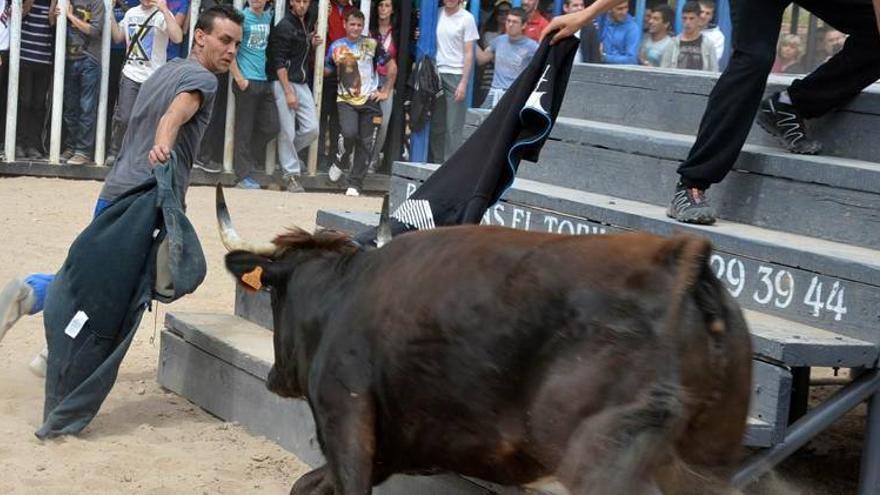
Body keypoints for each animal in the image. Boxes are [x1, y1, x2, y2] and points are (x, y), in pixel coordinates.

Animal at [218, 192, 748, 494]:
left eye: (273, 295)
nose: (276, 377)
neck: (342, 295)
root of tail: (679, 260)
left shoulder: (346, 428)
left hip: (604, 459)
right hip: (707, 459)